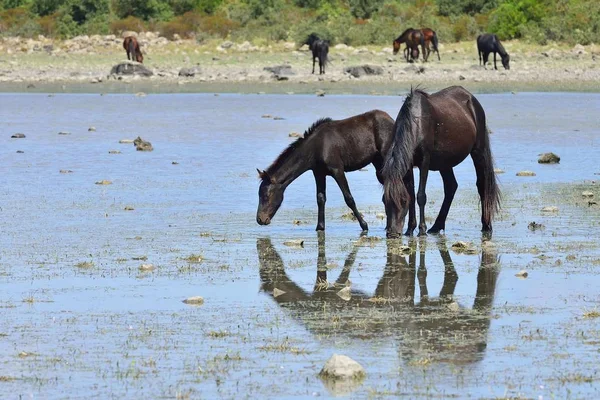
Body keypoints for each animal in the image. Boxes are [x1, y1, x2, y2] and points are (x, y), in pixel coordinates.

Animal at [255, 111, 396, 233]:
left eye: (266, 196)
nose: (260, 219)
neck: (316, 148)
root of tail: (392, 120)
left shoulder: (337, 170)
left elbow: (349, 198)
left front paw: (364, 225)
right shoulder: (318, 173)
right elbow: (320, 198)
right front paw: (320, 227)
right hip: (378, 164)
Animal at [382, 86, 500, 238]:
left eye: (402, 201)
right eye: (384, 200)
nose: (392, 233)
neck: (416, 123)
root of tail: (470, 97)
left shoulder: (424, 162)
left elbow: (420, 195)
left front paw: (422, 229)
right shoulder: (409, 165)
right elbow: (412, 195)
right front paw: (410, 229)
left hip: (478, 151)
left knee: (482, 185)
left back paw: (486, 225)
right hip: (445, 162)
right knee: (451, 186)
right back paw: (437, 226)